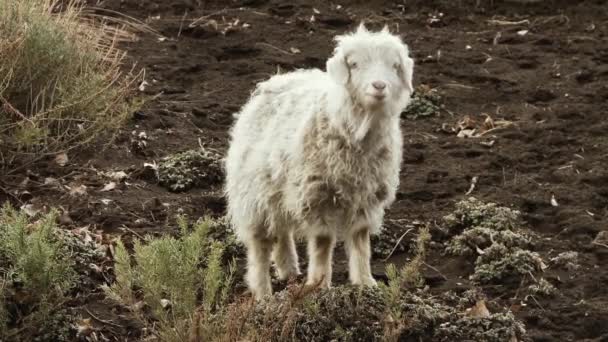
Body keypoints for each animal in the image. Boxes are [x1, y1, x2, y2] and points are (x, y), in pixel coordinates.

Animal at [226, 23, 416, 300]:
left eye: (394, 65)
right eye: (355, 64)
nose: (379, 86)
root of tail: (277, 79)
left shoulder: (367, 197)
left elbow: (361, 241)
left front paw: (366, 283)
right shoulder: (317, 196)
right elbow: (323, 243)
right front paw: (319, 285)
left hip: (280, 186)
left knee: (282, 230)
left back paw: (288, 268)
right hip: (255, 191)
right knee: (260, 246)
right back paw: (262, 293)